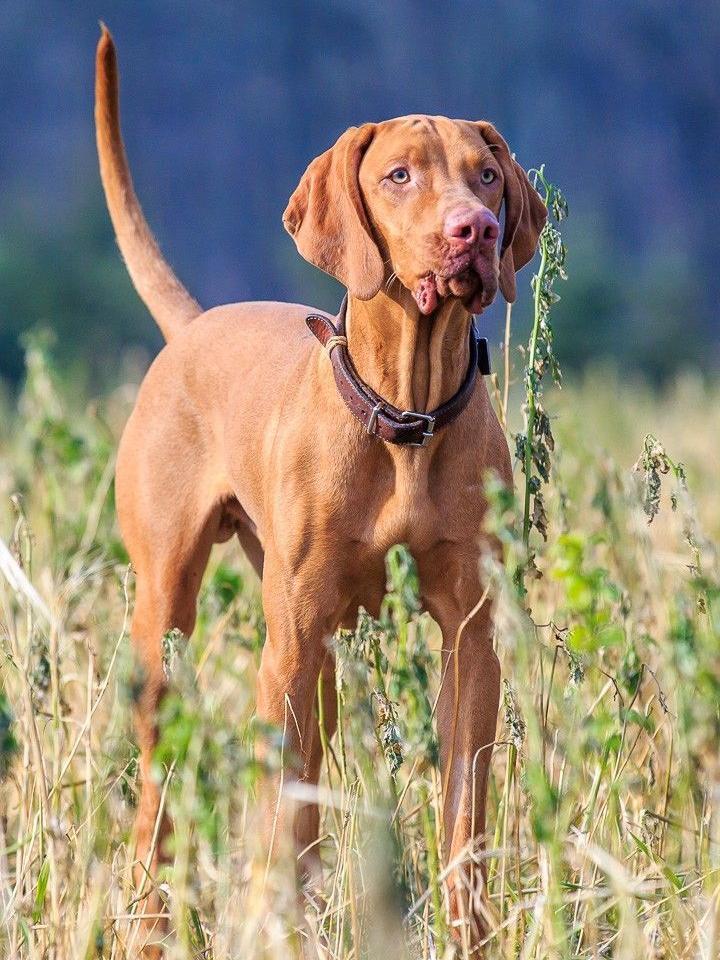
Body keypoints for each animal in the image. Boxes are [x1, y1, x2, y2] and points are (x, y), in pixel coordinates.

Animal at [94, 26, 544, 956]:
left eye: (486, 174)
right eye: (399, 175)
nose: (475, 230)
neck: (406, 415)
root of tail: (193, 325)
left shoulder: (472, 638)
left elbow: (465, 818)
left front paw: (468, 931)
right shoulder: (291, 644)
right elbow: (276, 818)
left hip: (323, 655)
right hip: (173, 617)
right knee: (164, 794)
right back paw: (151, 920)